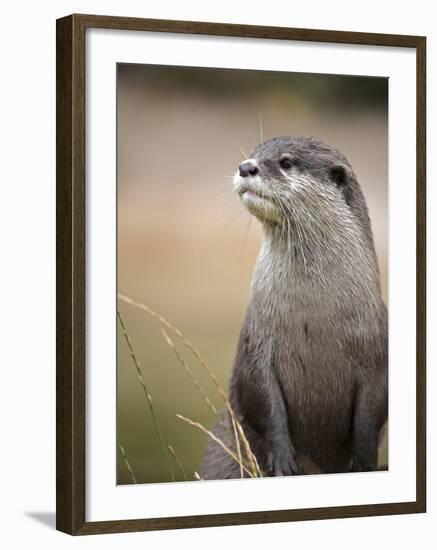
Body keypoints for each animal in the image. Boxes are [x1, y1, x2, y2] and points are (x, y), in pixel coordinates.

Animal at [199, 137, 386, 478]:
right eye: (255, 153)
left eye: (286, 162)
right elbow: (263, 398)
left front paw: (363, 464)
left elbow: (371, 416)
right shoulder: (256, 342)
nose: (246, 166)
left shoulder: (378, 353)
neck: (315, 315)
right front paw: (284, 459)